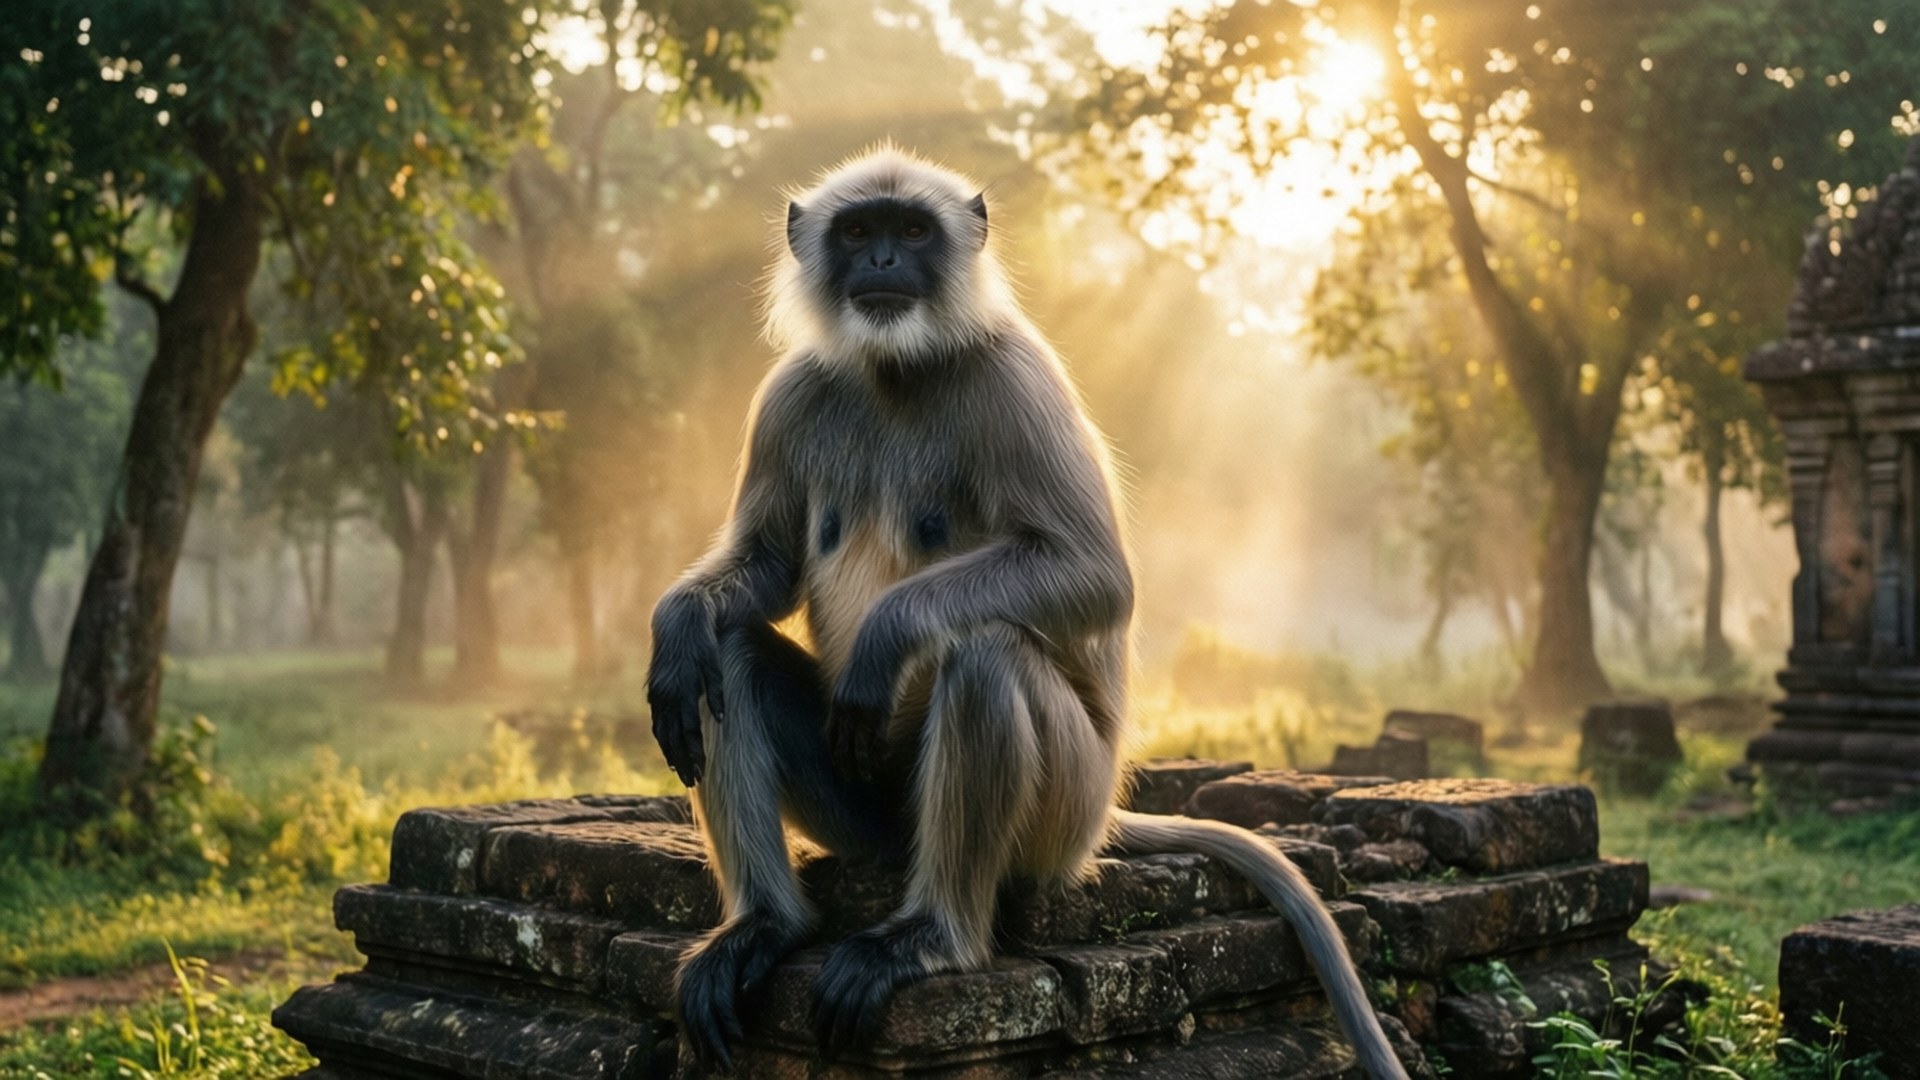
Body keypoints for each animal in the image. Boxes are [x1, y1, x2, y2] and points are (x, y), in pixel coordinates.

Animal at [645, 146, 1409, 1080]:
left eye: (912, 231)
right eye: (858, 233)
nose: (884, 262)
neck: (898, 369)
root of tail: (1104, 814)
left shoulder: (1014, 375)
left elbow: (1095, 576)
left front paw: (885, 637)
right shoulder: (786, 398)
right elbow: (763, 572)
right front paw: (676, 625)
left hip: (1067, 812)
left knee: (985, 655)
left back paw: (933, 939)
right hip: (867, 818)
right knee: (732, 659)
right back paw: (767, 924)